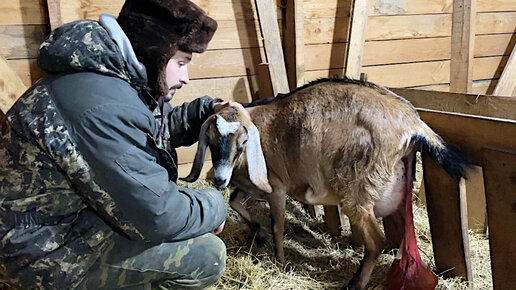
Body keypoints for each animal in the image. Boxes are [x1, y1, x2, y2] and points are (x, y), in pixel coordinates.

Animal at [181, 78, 468, 288]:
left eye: (242, 142)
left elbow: (277, 225)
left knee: (377, 241)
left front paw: (279, 260)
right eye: (211, 140)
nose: (219, 179)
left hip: (358, 193)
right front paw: (257, 231)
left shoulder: (276, 187)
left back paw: (355, 284)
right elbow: (236, 201)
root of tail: (413, 122)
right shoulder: (251, 185)